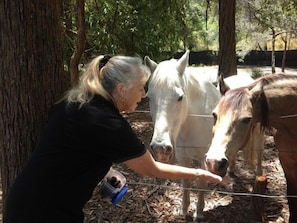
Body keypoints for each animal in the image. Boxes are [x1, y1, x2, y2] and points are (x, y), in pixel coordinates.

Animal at [143, 50, 220, 218]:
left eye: (180, 97)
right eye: (149, 97)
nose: (160, 147)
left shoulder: (203, 160)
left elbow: (201, 183)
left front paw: (199, 213)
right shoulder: (183, 158)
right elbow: (186, 182)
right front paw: (183, 210)